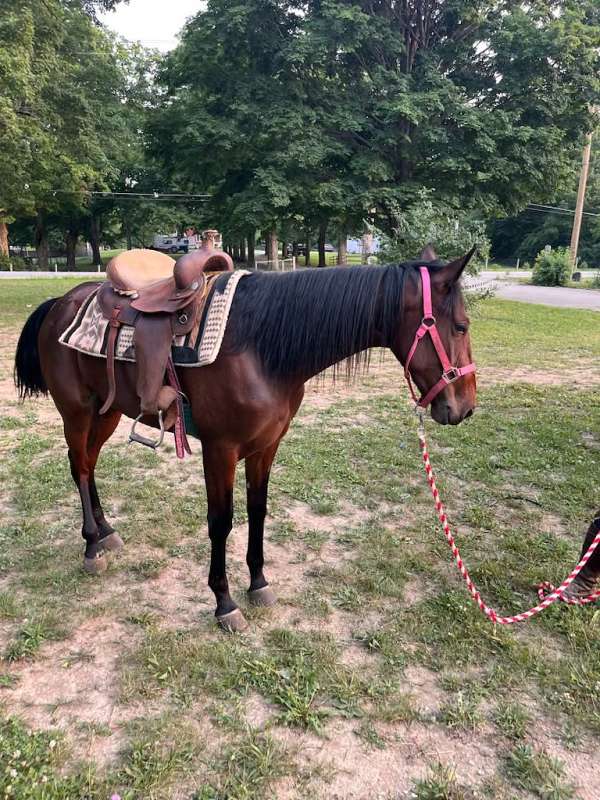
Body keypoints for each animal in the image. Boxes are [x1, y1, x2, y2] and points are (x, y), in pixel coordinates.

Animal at [14, 246, 477, 632]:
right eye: (460, 325)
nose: (465, 407)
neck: (262, 346)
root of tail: (60, 303)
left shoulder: (266, 446)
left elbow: (258, 511)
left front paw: (258, 582)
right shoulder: (220, 450)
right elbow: (221, 522)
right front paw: (224, 602)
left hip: (106, 412)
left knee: (88, 466)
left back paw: (107, 531)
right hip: (77, 413)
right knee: (80, 466)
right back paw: (92, 545)